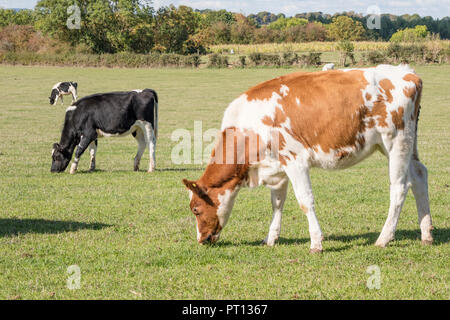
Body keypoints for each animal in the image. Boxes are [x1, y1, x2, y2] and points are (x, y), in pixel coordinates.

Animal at [183, 63, 432, 251]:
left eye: (196, 209)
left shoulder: (295, 160)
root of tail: (408, 73)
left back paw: (383, 238)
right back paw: (426, 234)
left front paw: (316, 243)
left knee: (399, 187)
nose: (201, 239)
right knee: (420, 176)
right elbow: (277, 203)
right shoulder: (277, 167)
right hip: (405, 145)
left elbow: (305, 200)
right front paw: (270, 238)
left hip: (396, 141)